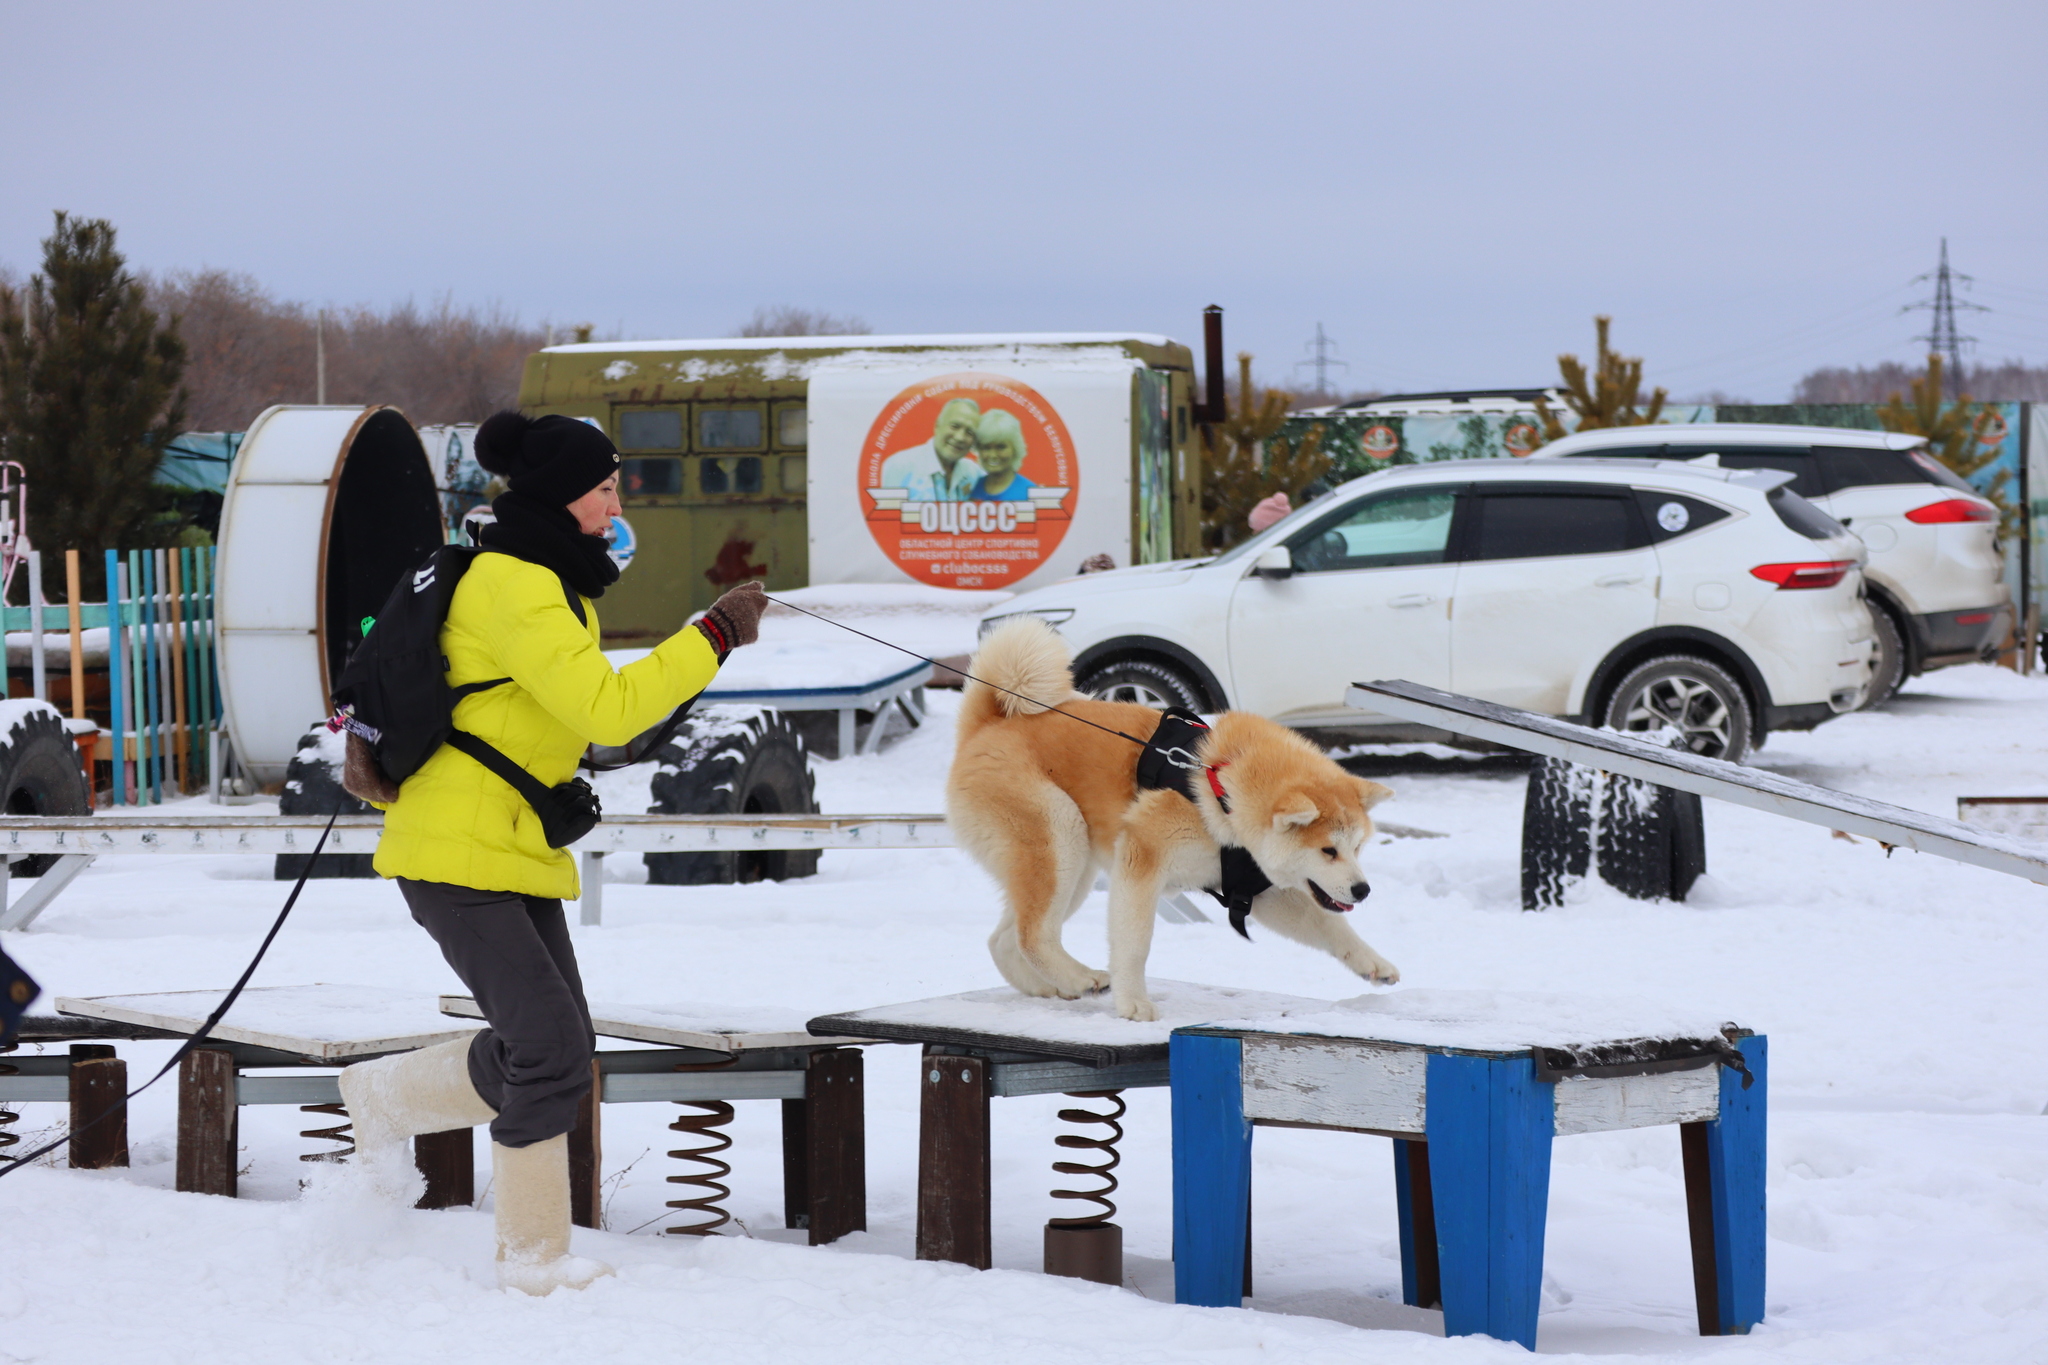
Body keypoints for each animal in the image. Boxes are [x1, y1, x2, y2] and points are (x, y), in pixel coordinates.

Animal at [946, 618, 1400, 1023]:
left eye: (1357, 847)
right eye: (1328, 850)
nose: (1363, 890)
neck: (1221, 791)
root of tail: (986, 725)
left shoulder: (1260, 890)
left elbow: (1330, 927)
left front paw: (1373, 964)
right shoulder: (1141, 863)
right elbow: (1135, 944)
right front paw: (1134, 1004)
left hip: (1072, 869)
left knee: (1005, 939)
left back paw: (1047, 986)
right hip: (1060, 837)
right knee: (1033, 934)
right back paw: (1079, 978)